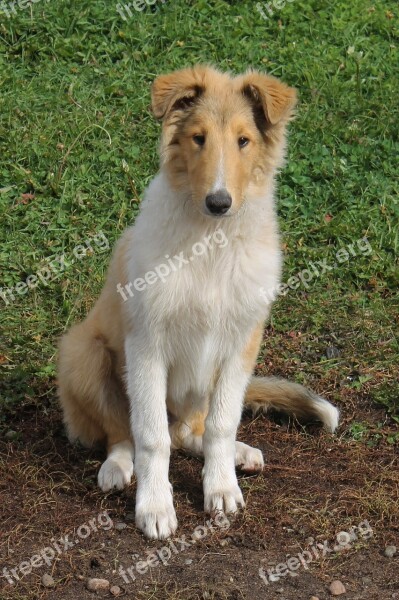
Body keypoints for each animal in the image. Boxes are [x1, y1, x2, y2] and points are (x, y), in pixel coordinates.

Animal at [58, 64, 340, 540]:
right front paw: (154, 507)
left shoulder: (241, 343)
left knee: (193, 432)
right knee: (124, 432)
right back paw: (116, 468)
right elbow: (150, 436)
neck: (212, 242)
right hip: (84, 353)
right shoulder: (146, 344)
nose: (219, 202)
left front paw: (221, 488)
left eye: (243, 140)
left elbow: (222, 424)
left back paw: (238, 453)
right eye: (198, 138)